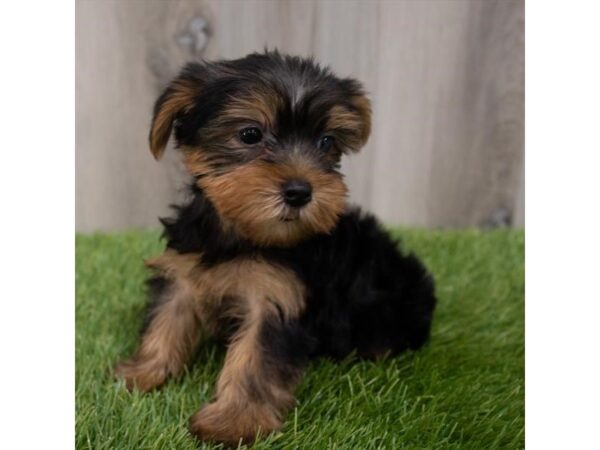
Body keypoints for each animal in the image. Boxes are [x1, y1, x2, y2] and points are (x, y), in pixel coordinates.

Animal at [116, 51, 436, 444]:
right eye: (250, 134)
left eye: (326, 142)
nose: (300, 192)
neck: (243, 233)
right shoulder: (185, 269)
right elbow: (166, 319)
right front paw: (142, 371)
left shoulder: (276, 298)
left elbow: (255, 357)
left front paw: (233, 422)